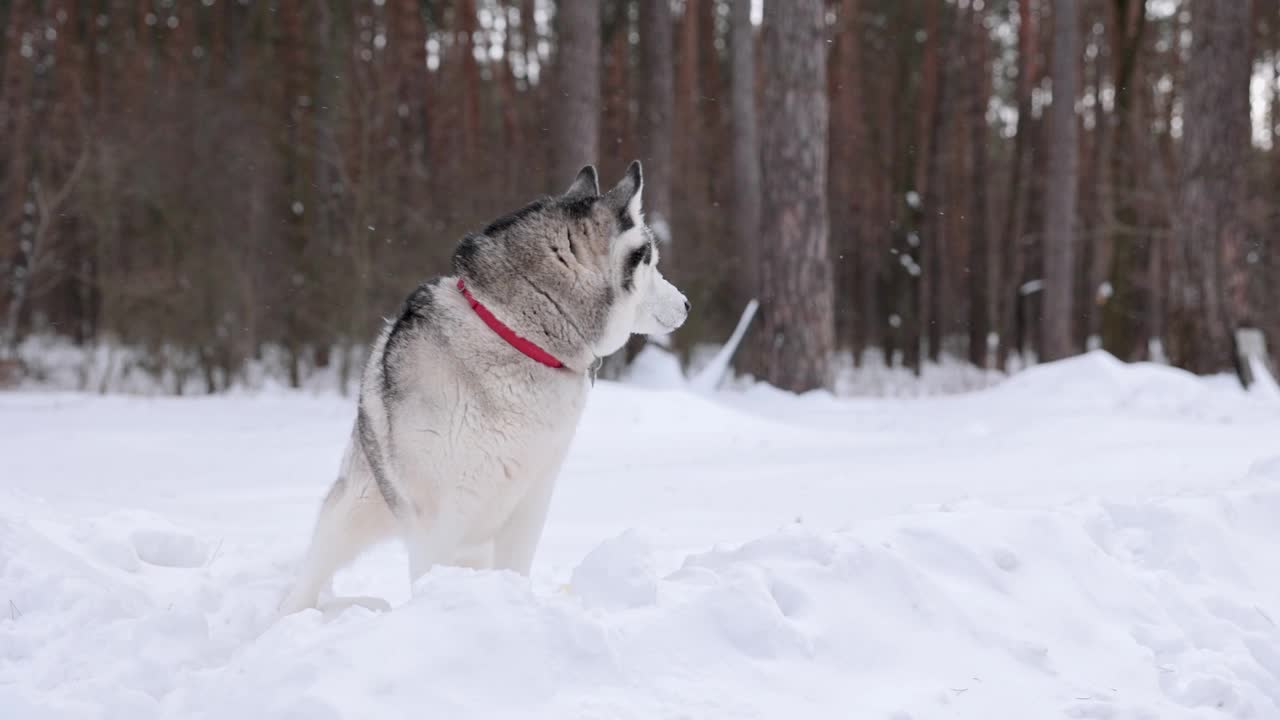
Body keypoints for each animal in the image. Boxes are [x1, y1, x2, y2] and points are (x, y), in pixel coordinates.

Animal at [276, 158, 686, 609]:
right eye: (651, 262)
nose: (686, 305)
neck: (516, 335)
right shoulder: (437, 515)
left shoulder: (531, 500)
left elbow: (516, 565)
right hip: (354, 511)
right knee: (306, 582)